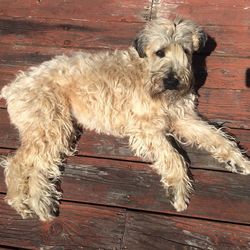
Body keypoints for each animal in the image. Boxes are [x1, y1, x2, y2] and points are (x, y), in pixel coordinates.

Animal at [0, 18, 250, 221]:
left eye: (186, 51)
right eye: (160, 52)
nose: (172, 81)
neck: (147, 72)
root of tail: (13, 86)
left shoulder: (183, 118)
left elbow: (216, 137)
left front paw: (239, 161)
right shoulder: (146, 128)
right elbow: (173, 157)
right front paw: (178, 191)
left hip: (55, 130)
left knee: (38, 168)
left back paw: (41, 206)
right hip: (50, 127)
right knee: (17, 163)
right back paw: (25, 204)